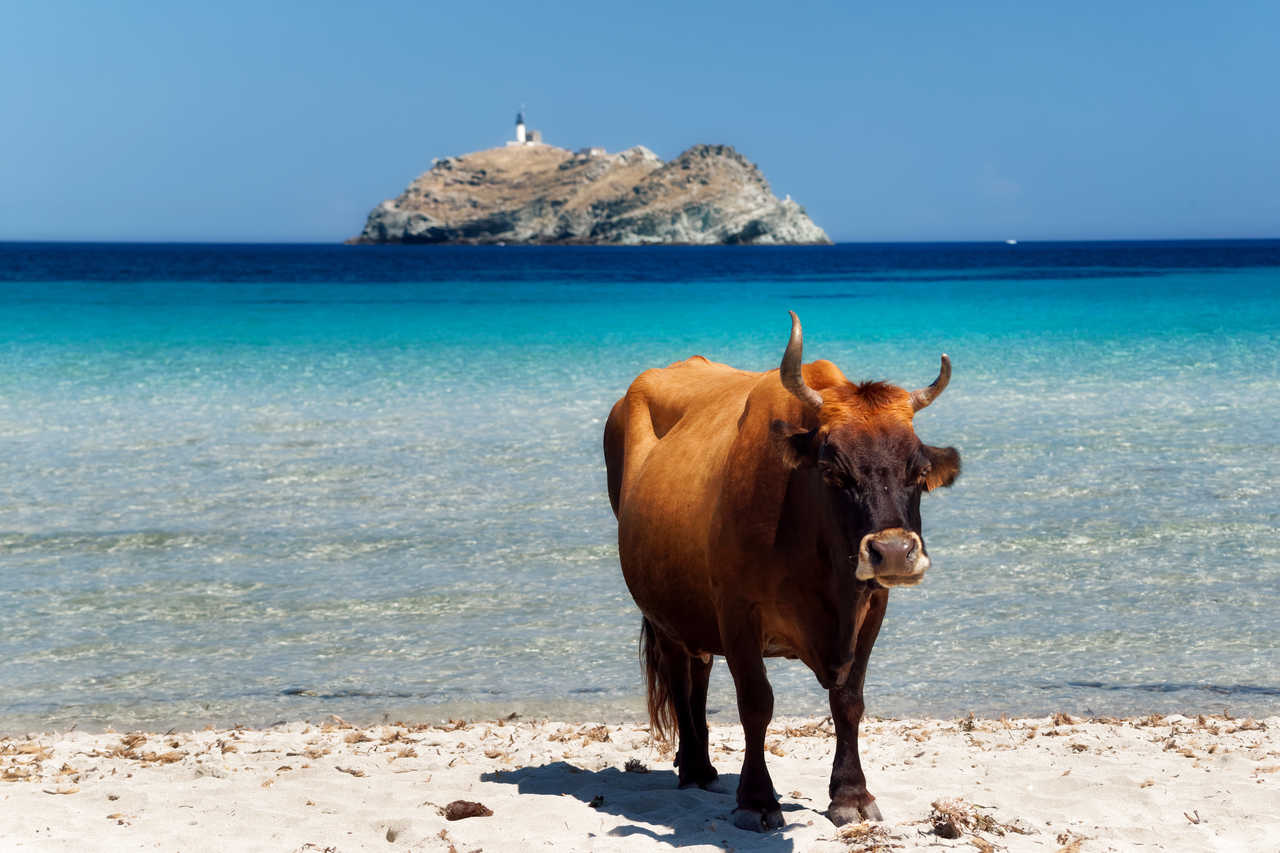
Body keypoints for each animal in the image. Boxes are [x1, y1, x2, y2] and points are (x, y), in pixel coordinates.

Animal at [603, 311, 961, 832]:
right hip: (663, 608)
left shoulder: (873, 605)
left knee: (699, 671)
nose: (893, 552)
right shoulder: (737, 610)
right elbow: (756, 702)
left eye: (918, 471)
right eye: (833, 470)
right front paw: (756, 799)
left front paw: (851, 794)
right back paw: (695, 767)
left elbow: (849, 699)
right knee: (678, 672)